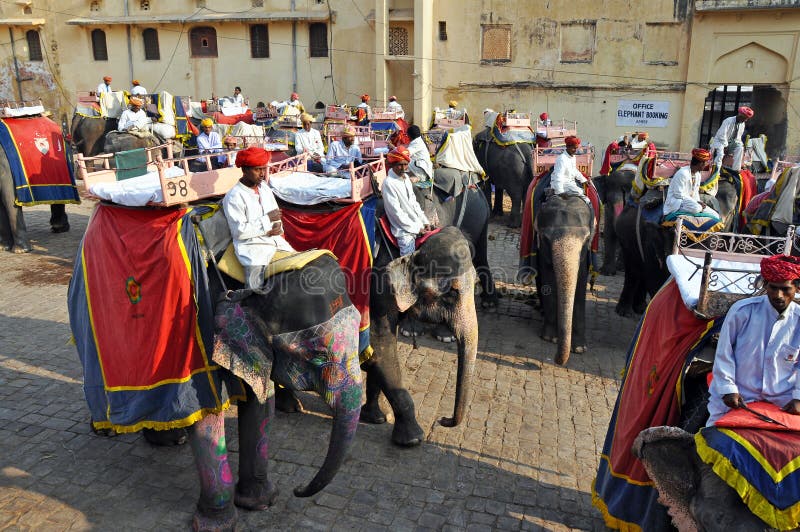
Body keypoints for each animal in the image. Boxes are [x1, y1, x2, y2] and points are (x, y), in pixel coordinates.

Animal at [532, 193, 592, 364]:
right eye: (546, 239)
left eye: (587, 240)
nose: (555, 359)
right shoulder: (542, 249)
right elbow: (548, 277)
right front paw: (549, 338)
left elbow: (581, 282)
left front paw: (579, 349)